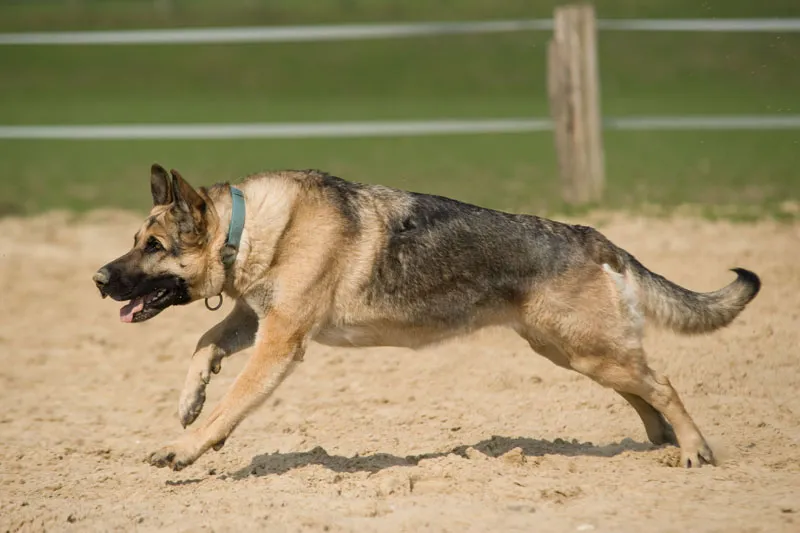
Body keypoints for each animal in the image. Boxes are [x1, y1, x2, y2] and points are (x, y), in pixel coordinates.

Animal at [90, 163, 760, 470]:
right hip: (571, 351)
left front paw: (187, 447)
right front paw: (189, 402)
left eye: (154, 246)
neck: (247, 226)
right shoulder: (255, 320)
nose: (98, 280)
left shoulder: (279, 341)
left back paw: (694, 450)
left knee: (663, 383)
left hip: (584, 349)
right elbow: (204, 343)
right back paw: (659, 442)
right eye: (135, 240)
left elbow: (231, 405)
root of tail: (594, 237)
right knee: (643, 389)